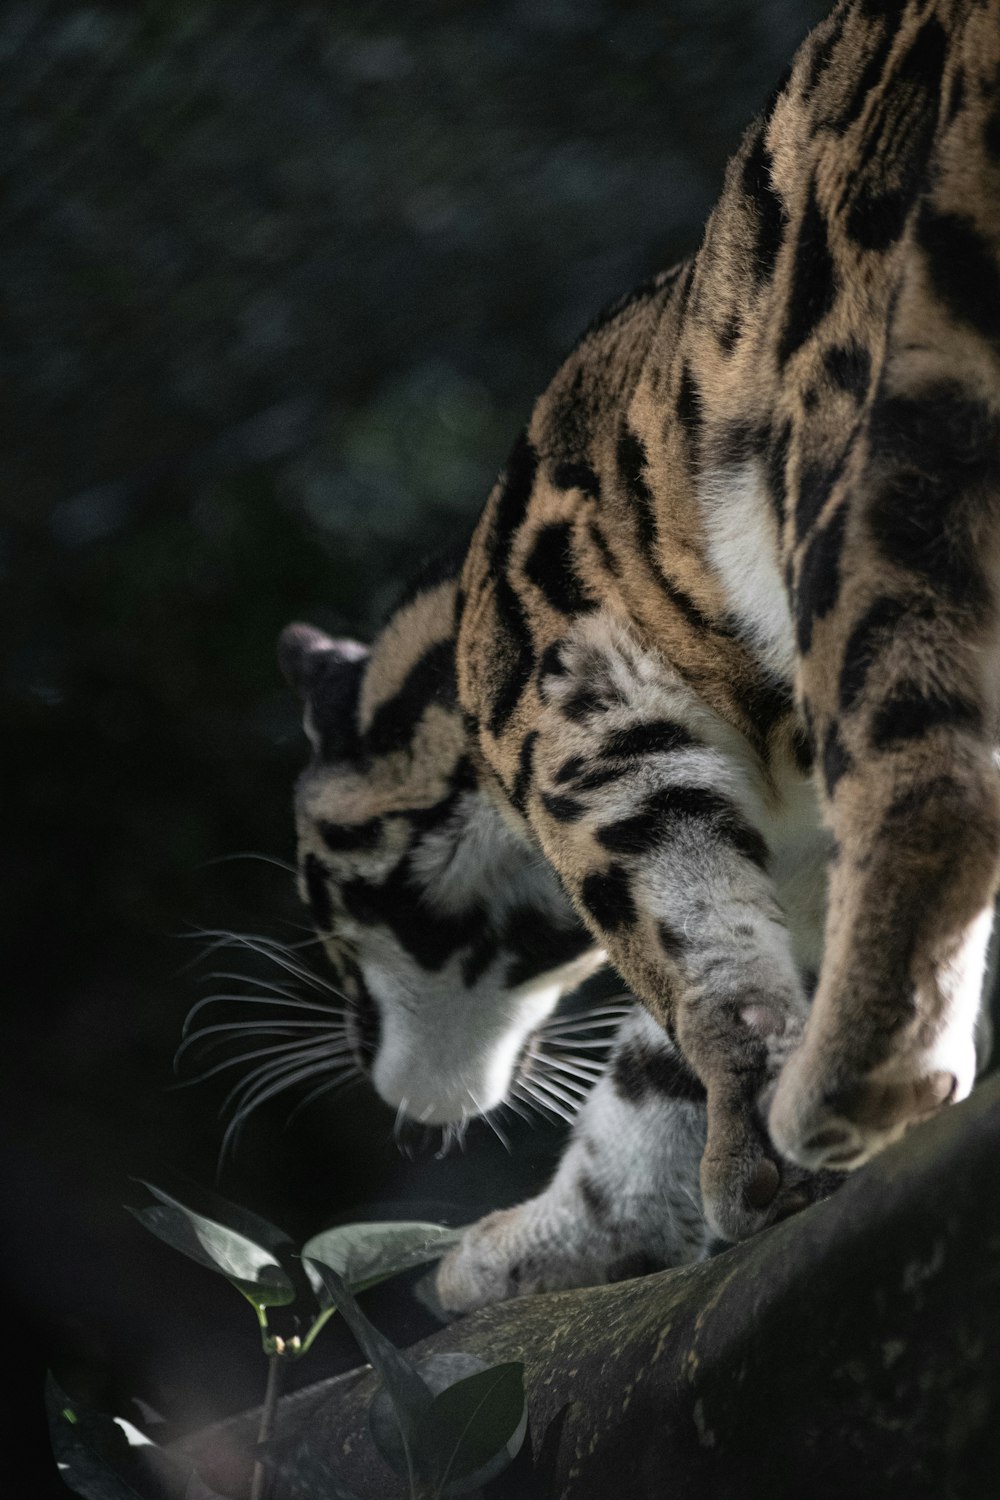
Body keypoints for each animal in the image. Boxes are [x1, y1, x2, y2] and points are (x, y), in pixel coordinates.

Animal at [275, 0, 1000, 1314]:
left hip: (873, 478)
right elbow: (686, 1037)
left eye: (327, 909)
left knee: (931, 787)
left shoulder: (595, 730)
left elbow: (687, 986)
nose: (386, 1107)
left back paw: (863, 1084)